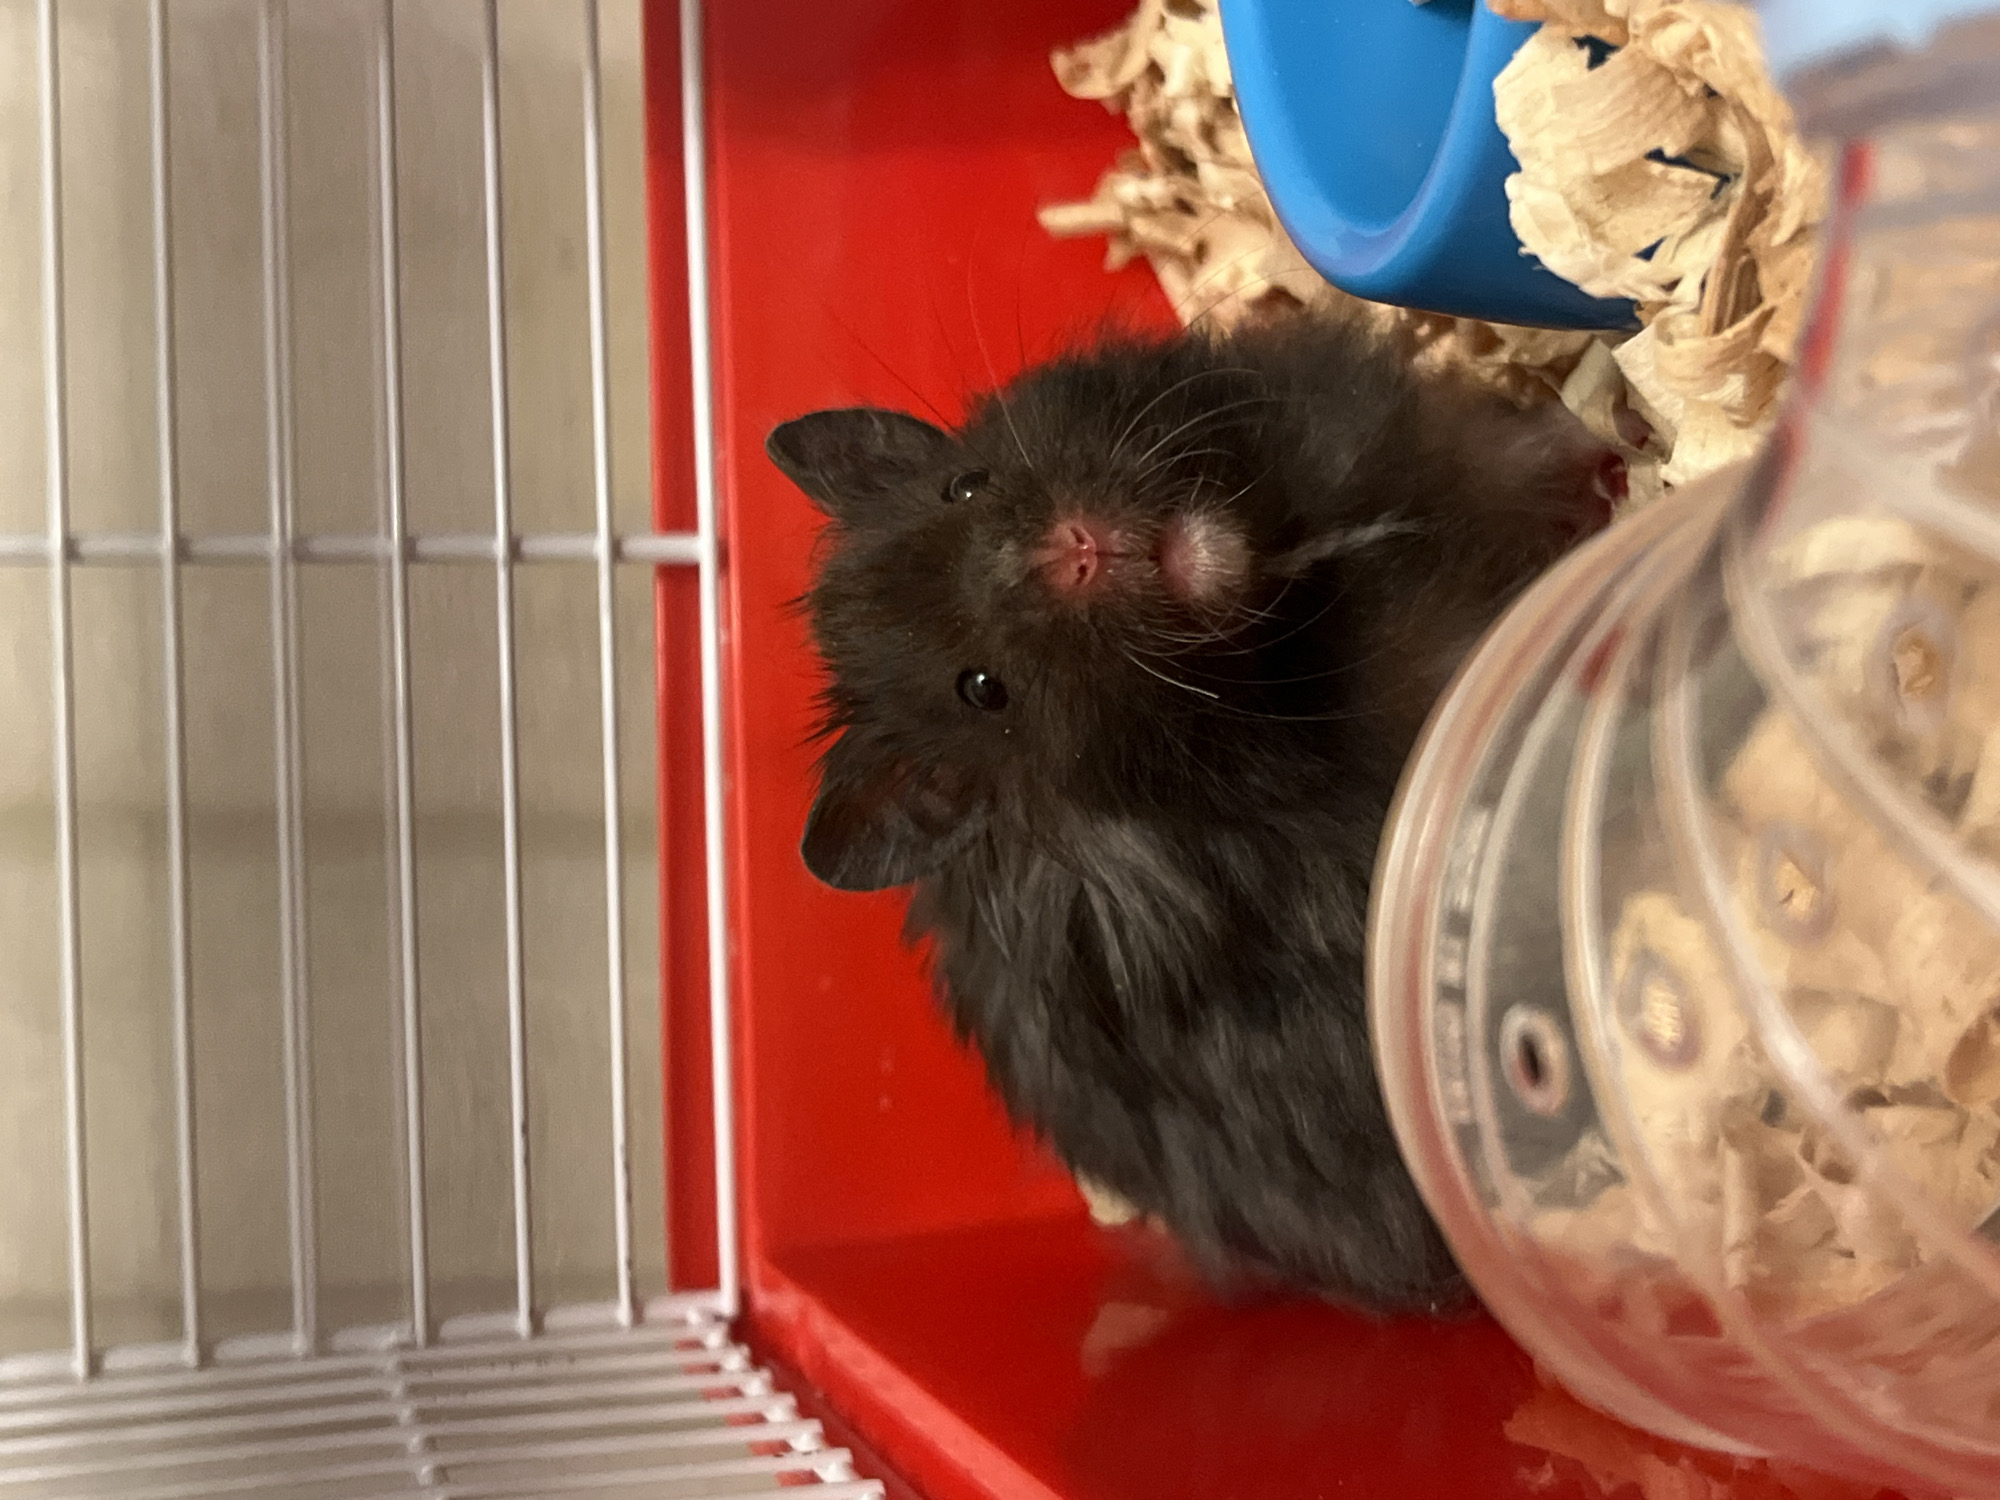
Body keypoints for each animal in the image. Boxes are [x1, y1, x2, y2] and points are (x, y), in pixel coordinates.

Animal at [766, 311, 1626, 1315]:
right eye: (983, 690)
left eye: (964, 484)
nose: (1072, 550)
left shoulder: (1429, 443)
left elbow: (1533, 445)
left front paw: (1608, 450)